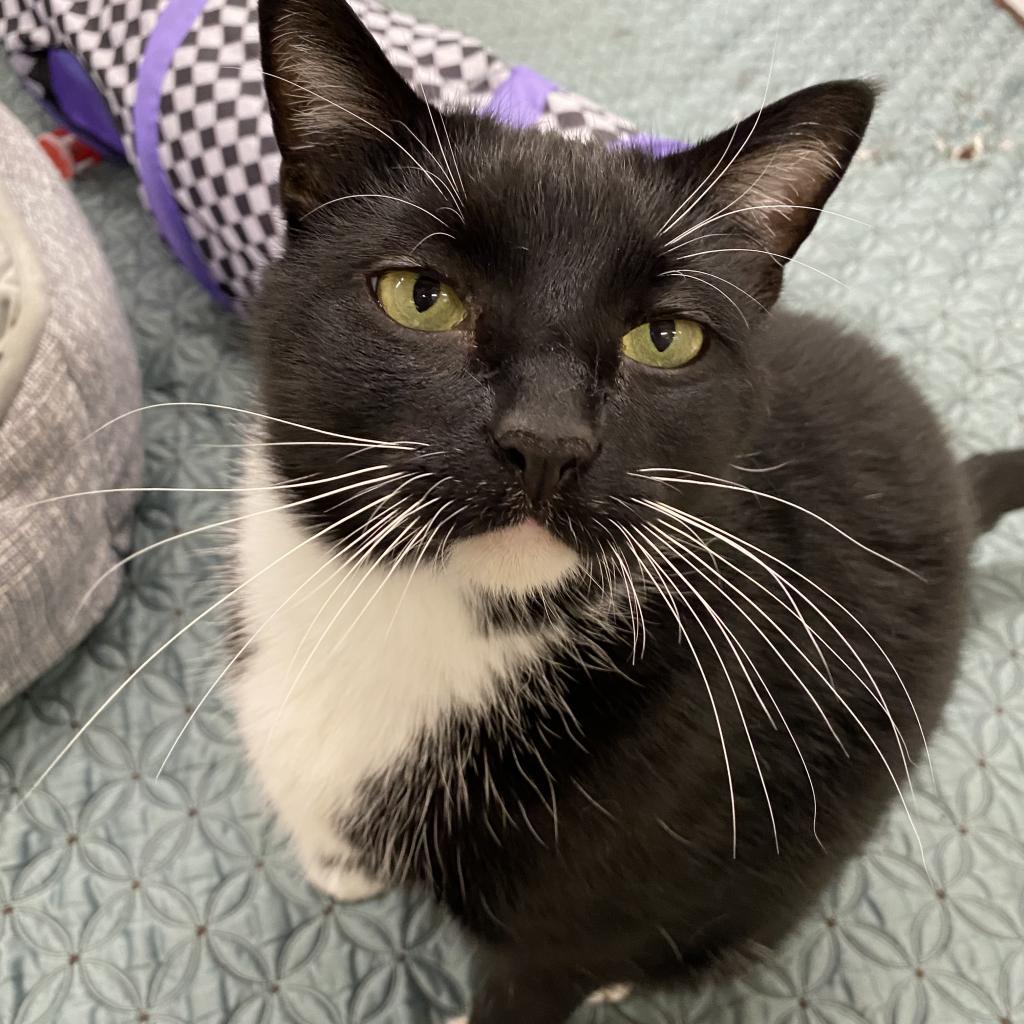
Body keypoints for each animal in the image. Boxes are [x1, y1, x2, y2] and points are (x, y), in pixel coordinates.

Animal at [228, 2, 1024, 1024]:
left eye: (666, 337)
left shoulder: (564, 929)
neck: (435, 618)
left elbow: (540, 972)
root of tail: (959, 482)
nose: (548, 441)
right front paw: (343, 869)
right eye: (421, 295)